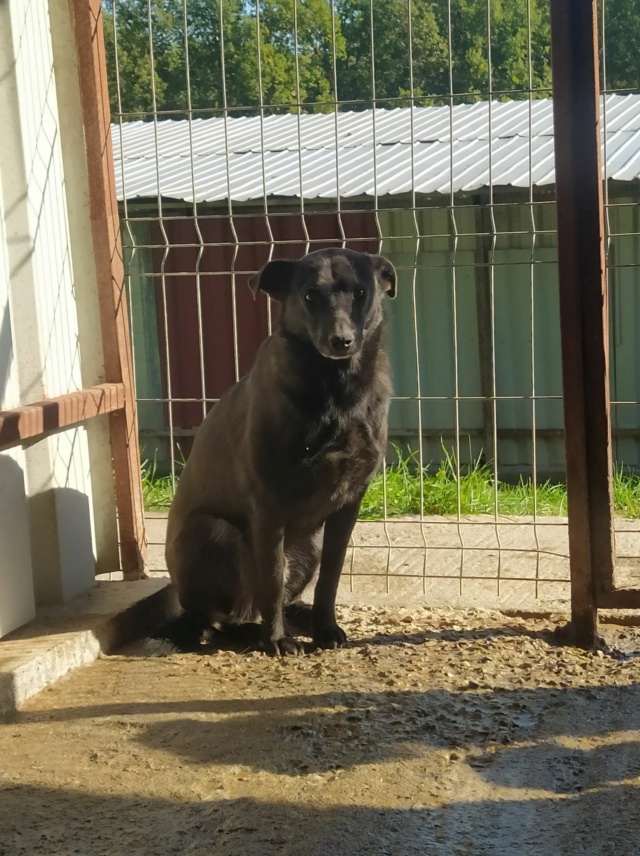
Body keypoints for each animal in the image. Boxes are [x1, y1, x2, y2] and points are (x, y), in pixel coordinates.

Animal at [165, 247, 396, 656]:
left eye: (361, 293)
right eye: (310, 295)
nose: (341, 341)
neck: (336, 391)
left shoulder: (347, 507)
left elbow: (331, 578)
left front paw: (324, 628)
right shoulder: (269, 505)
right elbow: (270, 579)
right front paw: (275, 640)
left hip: (309, 545)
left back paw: (297, 616)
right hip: (216, 531)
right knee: (223, 615)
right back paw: (243, 630)